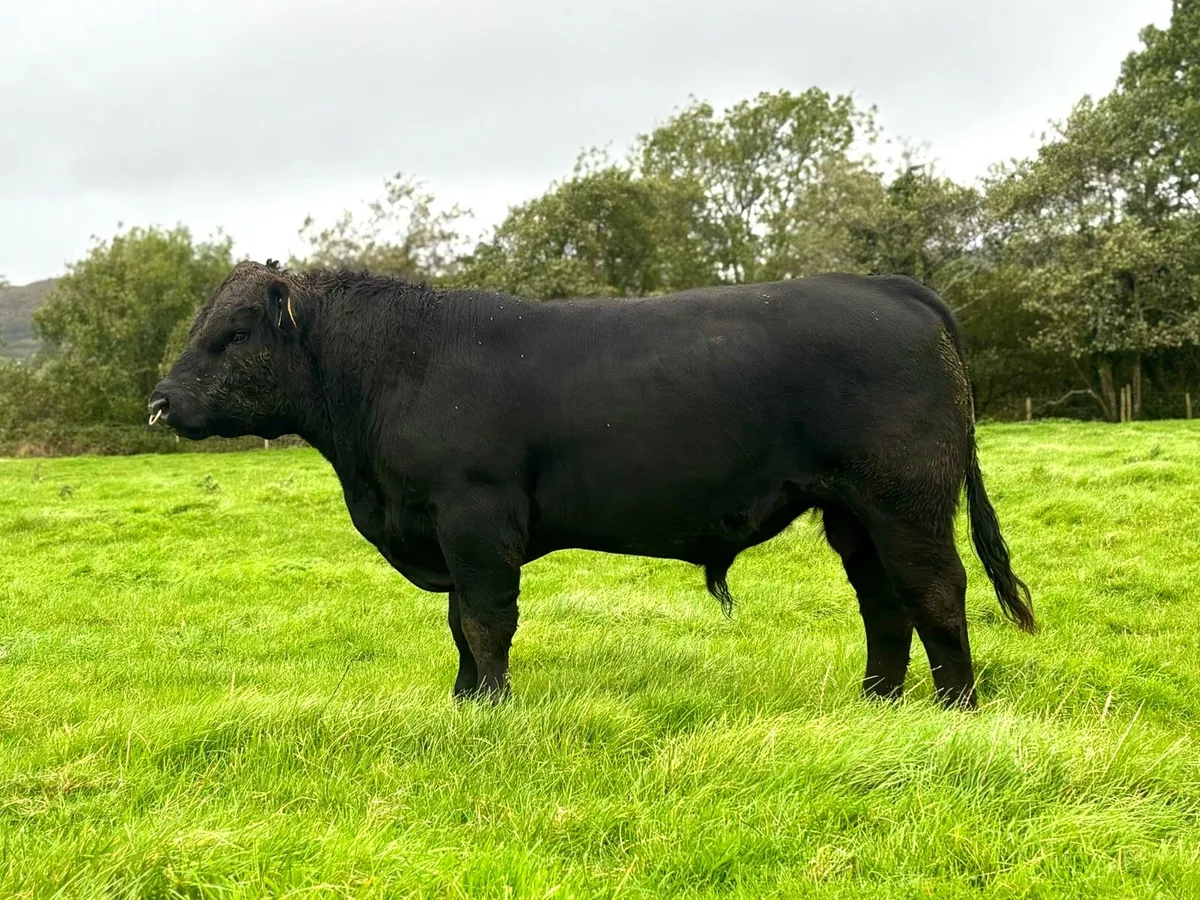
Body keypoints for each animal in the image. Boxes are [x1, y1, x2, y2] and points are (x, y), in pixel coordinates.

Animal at [150, 260, 1035, 709]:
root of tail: (887, 285)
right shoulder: (444, 528)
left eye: (235, 332)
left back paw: (955, 708)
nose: (160, 401)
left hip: (905, 499)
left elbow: (483, 621)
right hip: (850, 510)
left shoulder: (474, 517)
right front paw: (463, 701)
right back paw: (876, 701)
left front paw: (492, 706)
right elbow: (456, 625)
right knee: (882, 600)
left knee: (935, 591)